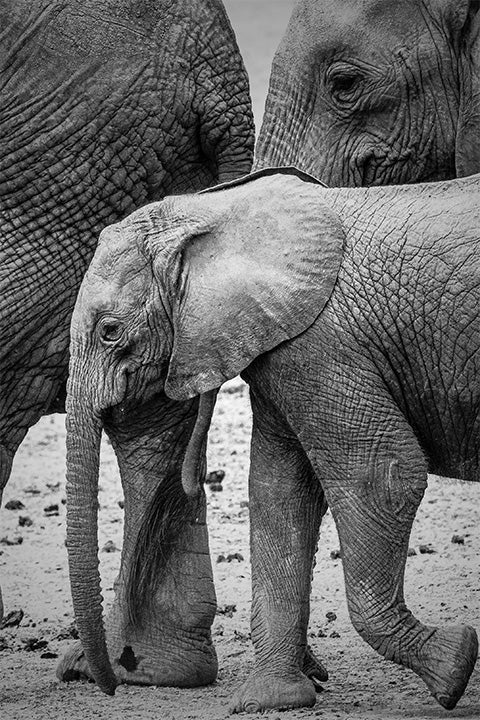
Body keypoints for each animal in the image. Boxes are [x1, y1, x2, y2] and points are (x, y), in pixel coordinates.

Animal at [65, 167, 479, 711]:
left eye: (110, 331)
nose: (110, 683)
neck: (212, 210)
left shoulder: (318, 342)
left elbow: (380, 475)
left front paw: (455, 667)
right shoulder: (277, 342)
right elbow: (278, 490)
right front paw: (272, 700)